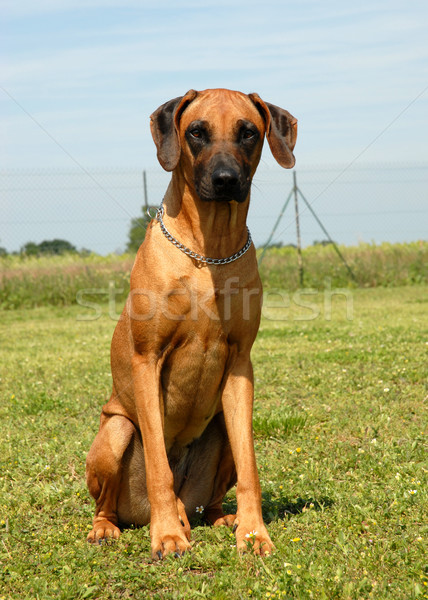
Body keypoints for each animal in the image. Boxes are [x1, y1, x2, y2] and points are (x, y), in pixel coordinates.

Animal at [85, 89, 296, 556]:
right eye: (197, 132)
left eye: (248, 132)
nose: (225, 180)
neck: (208, 252)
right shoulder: (147, 360)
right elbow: (159, 468)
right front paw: (167, 534)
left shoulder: (241, 365)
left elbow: (252, 467)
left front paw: (254, 532)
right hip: (116, 432)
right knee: (111, 500)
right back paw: (111, 527)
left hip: (221, 432)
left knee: (213, 494)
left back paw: (221, 518)